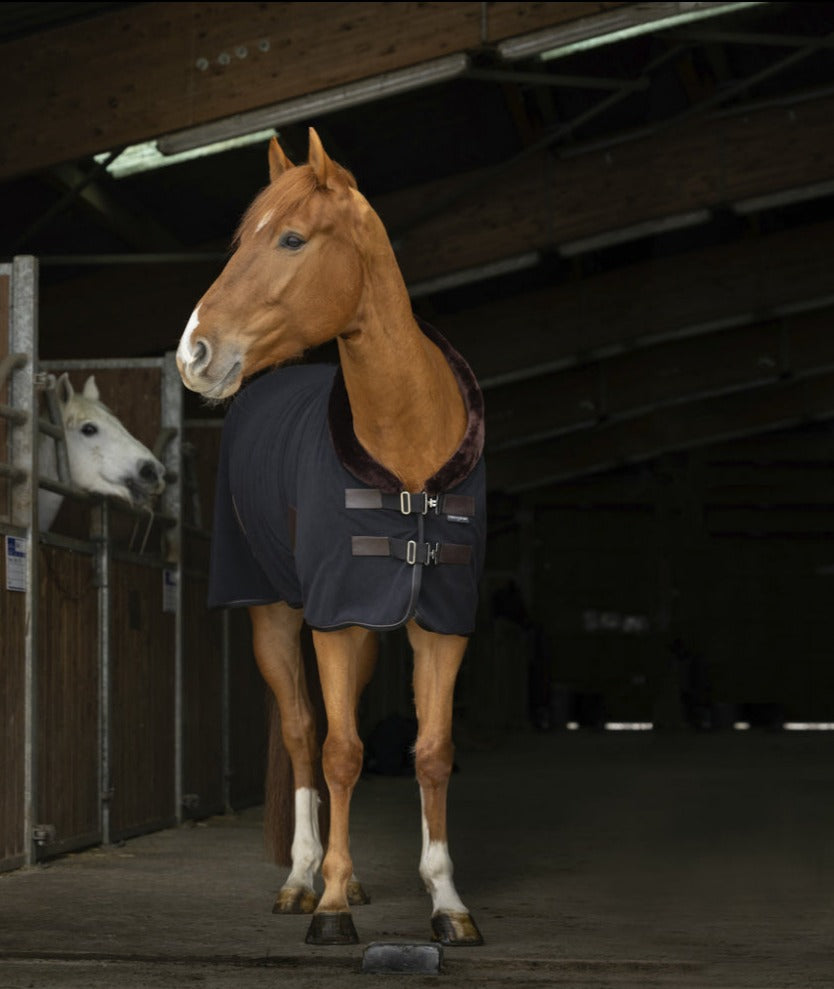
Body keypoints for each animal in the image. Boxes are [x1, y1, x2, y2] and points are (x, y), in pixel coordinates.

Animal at [178, 127, 484, 944]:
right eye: (238, 239)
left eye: (290, 238)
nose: (194, 354)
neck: (408, 451)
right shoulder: (334, 618)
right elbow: (340, 750)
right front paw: (333, 902)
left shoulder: (438, 622)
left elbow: (432, 751)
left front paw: (447, 900)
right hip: (277, 617)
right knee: (301, 732)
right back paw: (302, 878)